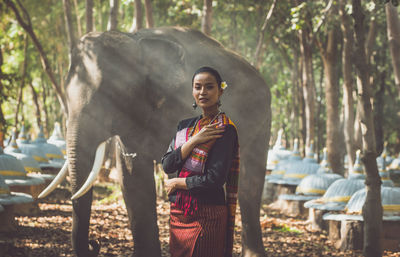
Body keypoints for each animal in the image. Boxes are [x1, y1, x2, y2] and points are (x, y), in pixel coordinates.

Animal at [42, 27, 270, 255]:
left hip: (262, 119)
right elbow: (131, 176)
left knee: (249, 184)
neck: (136, 41)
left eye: (112, 94)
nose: (95, 243)